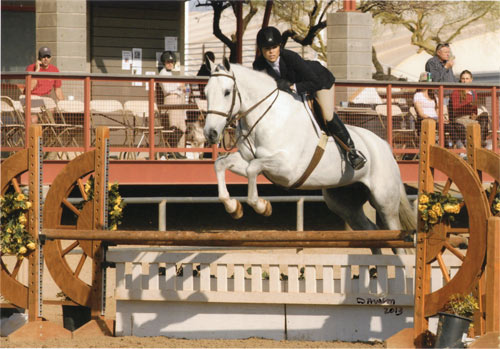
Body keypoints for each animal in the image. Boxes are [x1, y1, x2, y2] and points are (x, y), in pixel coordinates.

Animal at [201, 59, 416, 250]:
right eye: (206, 93)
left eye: (227, 92)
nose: (210, 133)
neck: (267, 117)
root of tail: (385, 146)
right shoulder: (247, 159)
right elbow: (221, 164)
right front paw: (233, 207)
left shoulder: (287, 169)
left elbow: (253, 169)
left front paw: (262, 206)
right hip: (344, 203)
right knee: (370, 231)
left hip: (385, 201)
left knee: (395, 238)